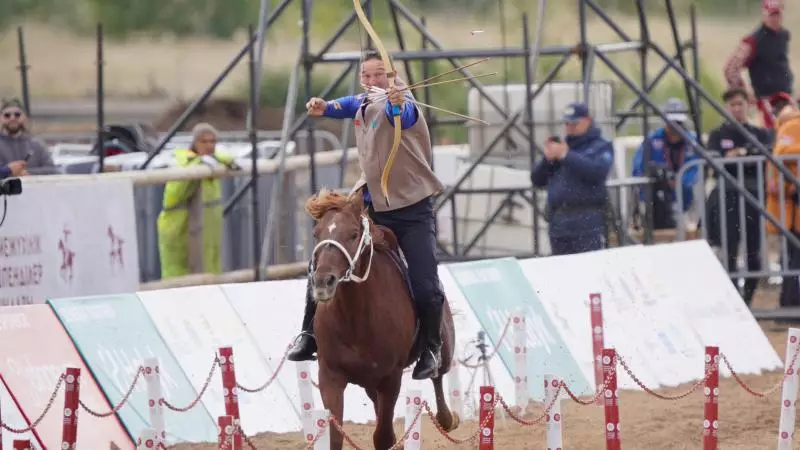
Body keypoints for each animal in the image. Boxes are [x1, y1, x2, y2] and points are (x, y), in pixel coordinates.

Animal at [304, 189, 460, 450]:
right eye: (317, 233)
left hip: (444, 350)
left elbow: (383, 436)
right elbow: (335, 437)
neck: (355, 319)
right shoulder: (330, 374)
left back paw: (447, 417)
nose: (323, 281)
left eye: (353, 234)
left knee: (438, 377)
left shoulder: (390, 378)